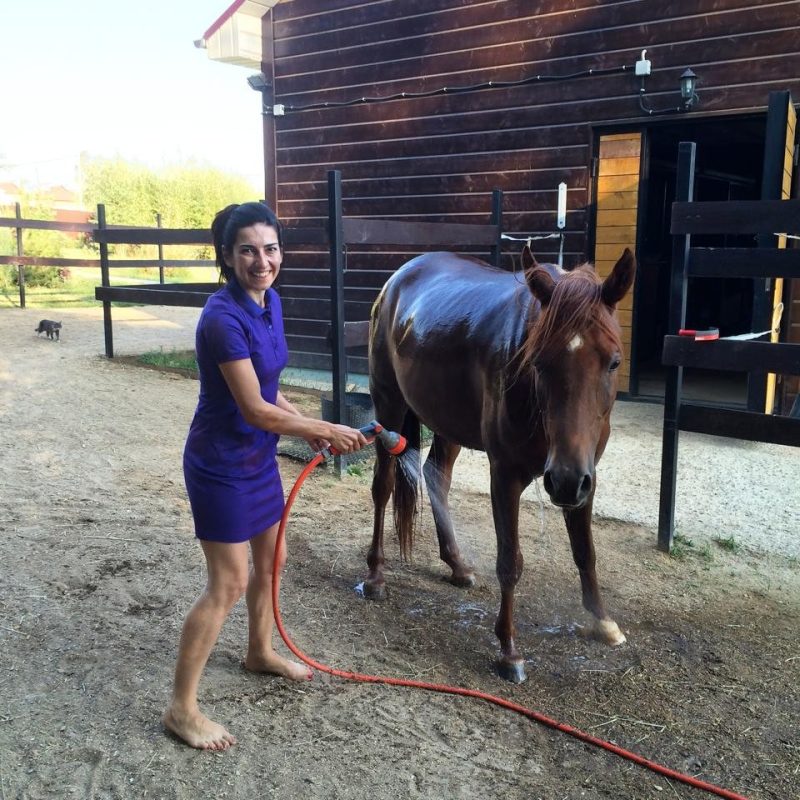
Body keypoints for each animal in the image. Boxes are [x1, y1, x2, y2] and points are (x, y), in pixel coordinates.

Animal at [366, 245, 636, 680]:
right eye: (539, 362)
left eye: (613, 362)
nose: (562, 481)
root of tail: (396, 279)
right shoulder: (506, 474)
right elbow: (510, 560)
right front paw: (509, 650)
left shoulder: (586, 473)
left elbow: (585, 550)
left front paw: (602, 621)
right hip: (388, 408)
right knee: (383, 487)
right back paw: (375, 575)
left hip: (447, 422)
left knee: (435, 476)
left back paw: (457, 565)